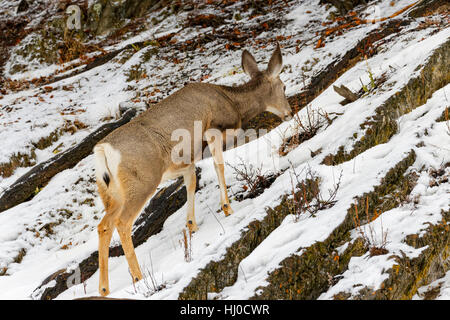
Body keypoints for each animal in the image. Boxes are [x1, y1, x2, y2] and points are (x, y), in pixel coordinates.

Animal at [94, 43, 292, 296]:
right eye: (283, 86)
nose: (289, 112)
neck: (233, 103)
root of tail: (103, 151)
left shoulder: (184, 163)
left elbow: (191, 183)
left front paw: (192, 225)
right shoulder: (213, 128)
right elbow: (219, 166)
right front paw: (227, 208)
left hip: (111, 193)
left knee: (104, 226)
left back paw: (104, 288)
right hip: (142, 182)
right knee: (122, 223)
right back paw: (138, 276)